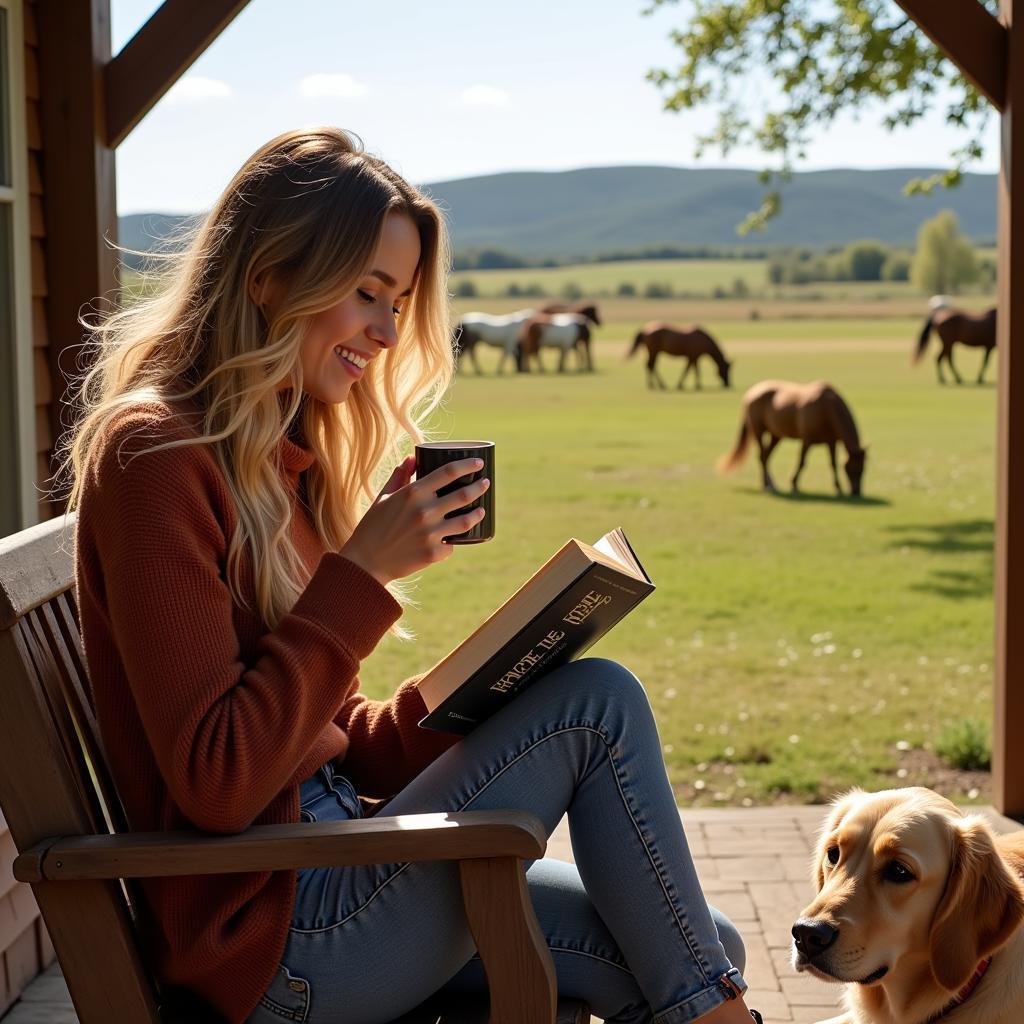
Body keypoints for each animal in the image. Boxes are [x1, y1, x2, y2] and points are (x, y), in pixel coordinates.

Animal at [716, 382, 868, 497]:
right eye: (851, 467)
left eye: (864, 467)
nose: (856, 492)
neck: (826, 410)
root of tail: (750, 393)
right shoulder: (807, 441)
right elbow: (802, 462)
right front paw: (794, 485)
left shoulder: (832, 442)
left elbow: (833, 464)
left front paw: (838, 488)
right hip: (759, 431)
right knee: (762, 456)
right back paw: (766, 485)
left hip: (776, 435)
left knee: (766, 456)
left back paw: (771, 484)